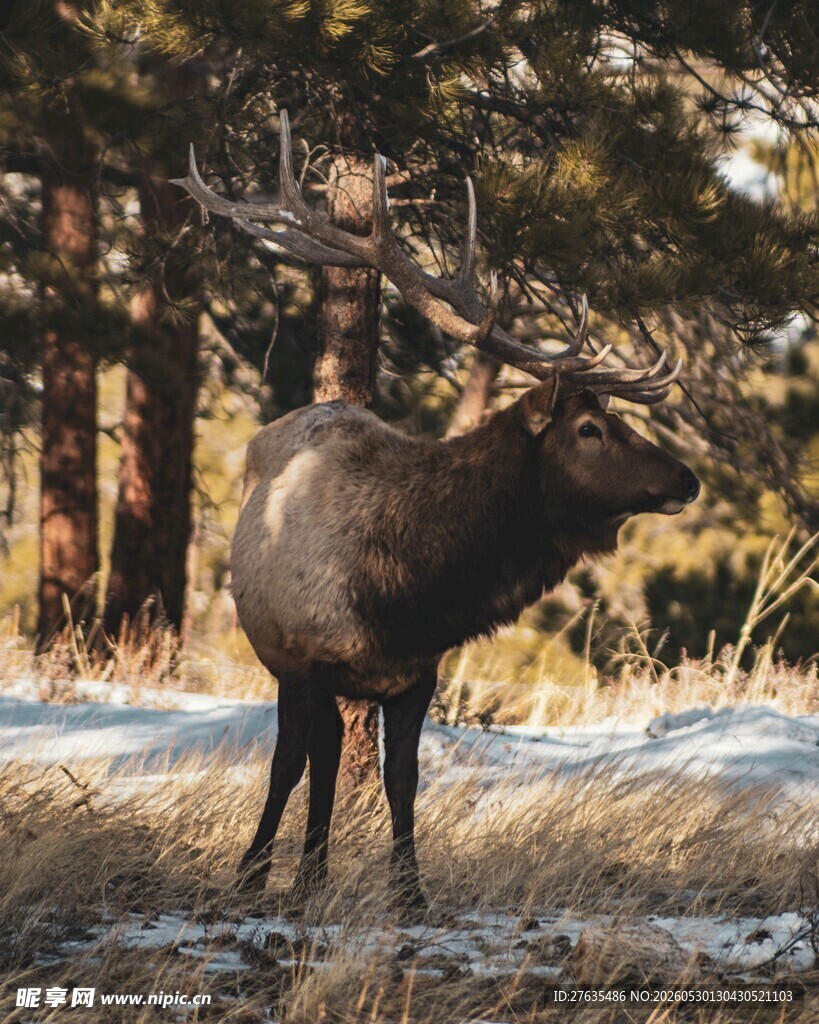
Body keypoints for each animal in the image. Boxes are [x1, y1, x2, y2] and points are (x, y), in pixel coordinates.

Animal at [172, 112, 700, 911]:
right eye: (590, 429)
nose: (687, 477)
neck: (406, 592)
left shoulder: (418, 673)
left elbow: (402, 779)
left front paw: (409, 894)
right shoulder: (309, 660)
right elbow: (302, 768)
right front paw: (274, 877)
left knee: (327, 758)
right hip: (284, 658)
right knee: (300, 758)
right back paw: (272, 870)